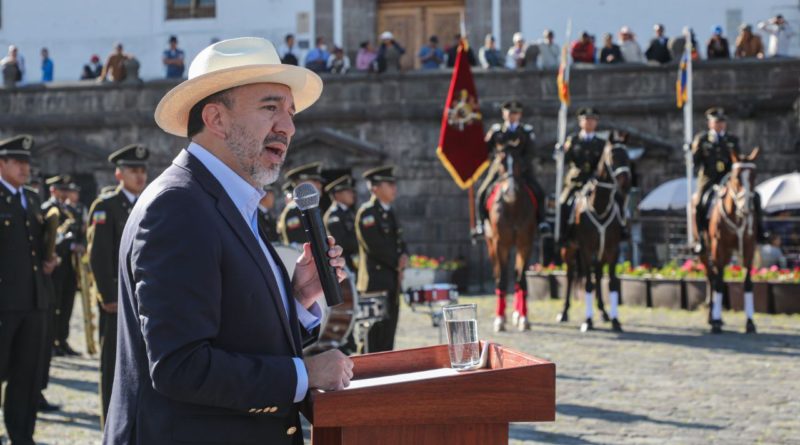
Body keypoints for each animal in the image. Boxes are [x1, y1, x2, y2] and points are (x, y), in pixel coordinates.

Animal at [484, 148, 540, 330]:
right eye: (500, 163)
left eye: (519, 163)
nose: (510, 191)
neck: (513, 206)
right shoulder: (500, 244)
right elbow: (501, 279)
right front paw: (500, 319)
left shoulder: (525, 244)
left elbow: (521, 279)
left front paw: (523, 318)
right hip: (491, 245)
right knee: (498, 274)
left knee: (516, 274)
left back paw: (516, 314)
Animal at [556, 140, 632, 332]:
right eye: (612, 155)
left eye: (628, 156)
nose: (626, 182)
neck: (599, 205)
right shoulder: (586, 249)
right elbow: (588, 283)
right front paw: (588, 321)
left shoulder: (613, 250)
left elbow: (612, 283)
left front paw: (615, 320)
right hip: (569, 250)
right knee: (570, 276)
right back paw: (564, 312)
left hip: (601, 252)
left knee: (597, 274)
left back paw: (604, 312)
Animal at [700, 147, 764, 332]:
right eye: (736, 177)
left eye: (754, 175)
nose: (747, 207)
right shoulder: (718, 247)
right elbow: (719, 283)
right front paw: (715, 322)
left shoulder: (749, 247)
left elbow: (748, 282)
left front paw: (750, 322)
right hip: (706, 251)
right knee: (712, 277)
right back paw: (712, 317)